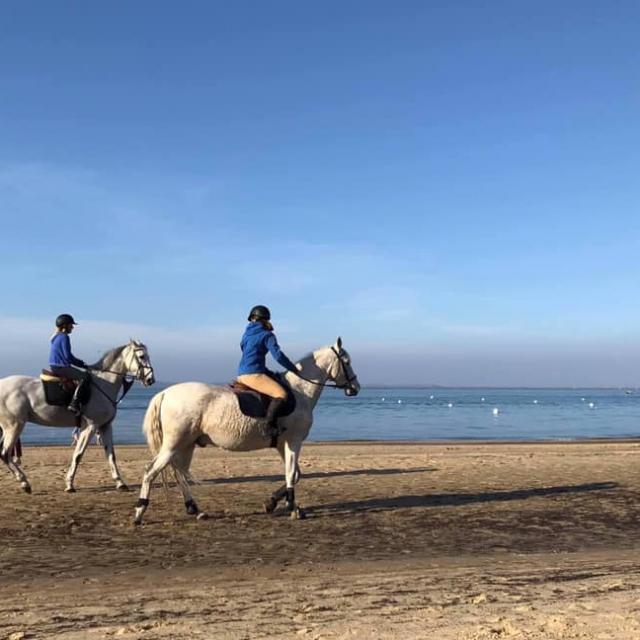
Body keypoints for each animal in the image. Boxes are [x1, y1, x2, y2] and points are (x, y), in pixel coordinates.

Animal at [0, 340, 155, 494]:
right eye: (141, 356)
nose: (150, 380)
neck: (103, 384)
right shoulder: (91, 427)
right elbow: (78, 455)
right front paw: (69, 484)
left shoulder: (105, 426)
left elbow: (111, 455)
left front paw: (120, 483)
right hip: (14, 426)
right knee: (5, 454)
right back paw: (24, 482)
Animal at [133, 337, 359, 525]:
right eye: (347, 361)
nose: (355, 388)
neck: (299, 391)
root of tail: (165, 392)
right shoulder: (294, 441)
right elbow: (291, 473)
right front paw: (292, 508)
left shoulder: (282, 444)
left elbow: (295, 474)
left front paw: (272, 503)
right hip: (174, 444)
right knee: (151, 471)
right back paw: (139, 512)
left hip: (187, 445)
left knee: (179, 473)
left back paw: (195, 509)